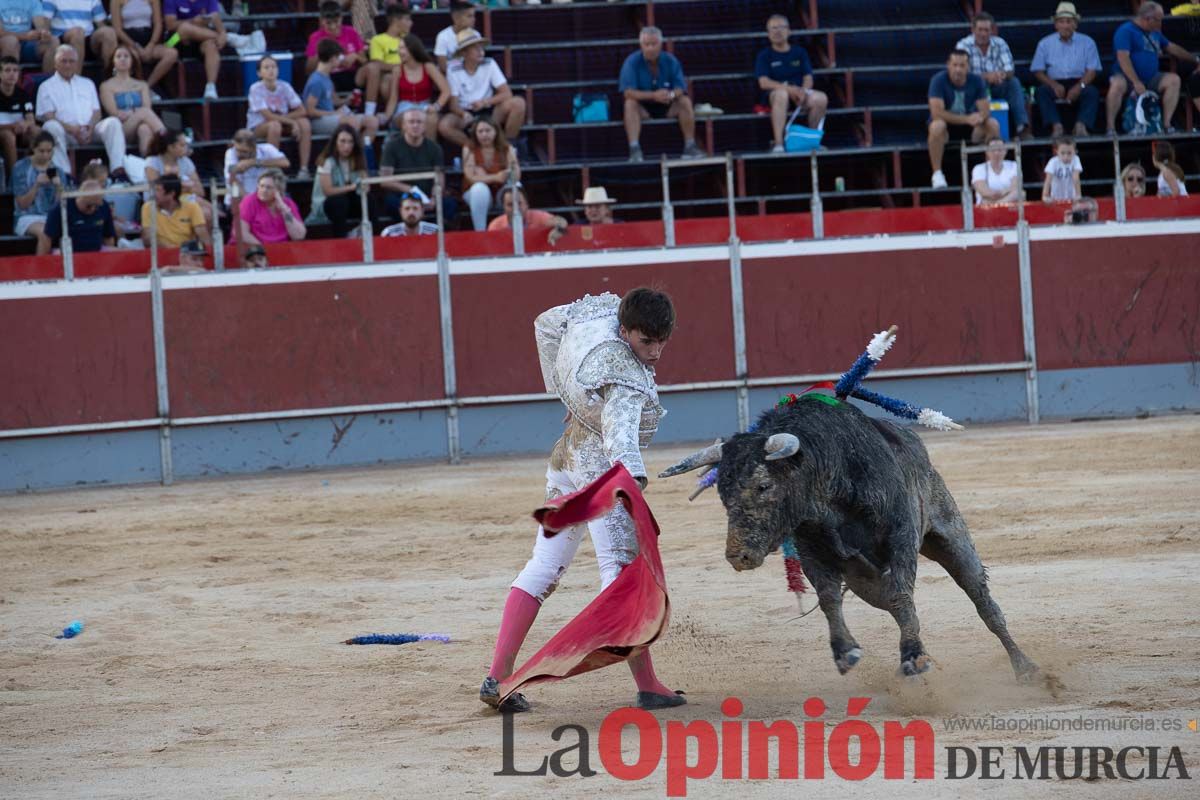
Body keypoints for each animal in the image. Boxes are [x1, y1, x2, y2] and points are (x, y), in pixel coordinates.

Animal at [662, 398, 1036, 681]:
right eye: (723, 493)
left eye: (763, 486)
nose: (737, 556)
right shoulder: (812, 552)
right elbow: (830, 599)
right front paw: (846, 653)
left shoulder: (901, 537)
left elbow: (902, 596)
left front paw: (913, 657)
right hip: (864, 581)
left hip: (951, 537)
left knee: (983, 602)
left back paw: (1025, 668)